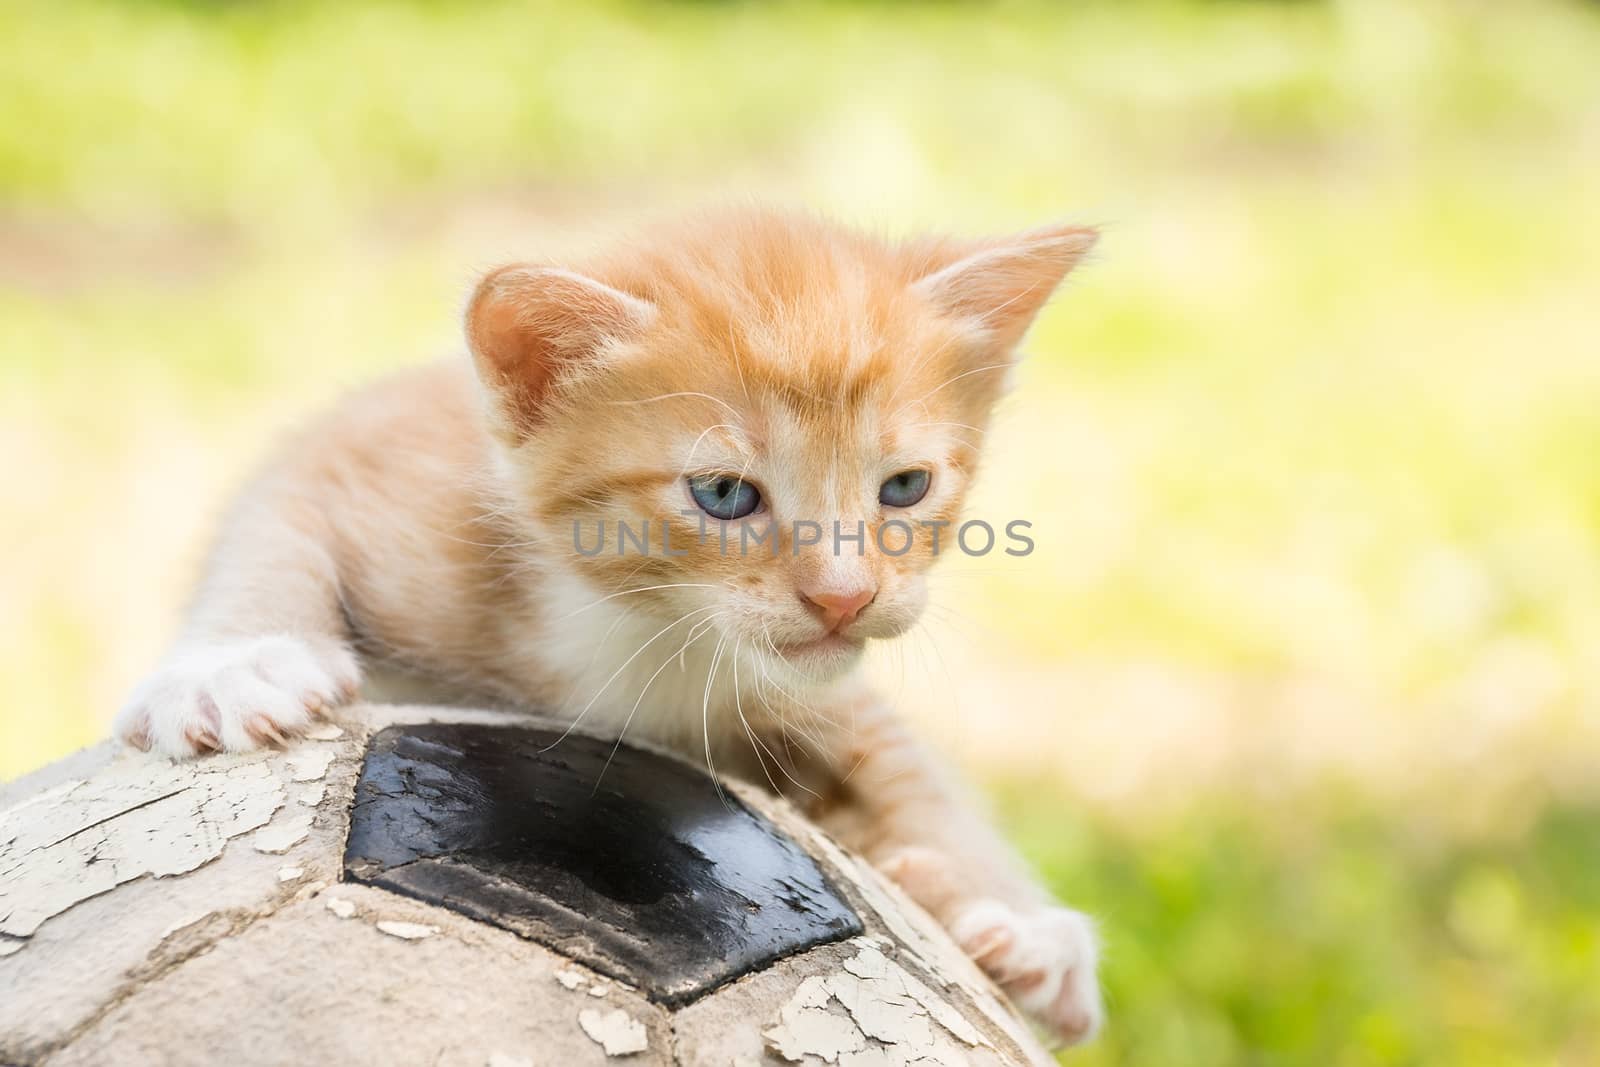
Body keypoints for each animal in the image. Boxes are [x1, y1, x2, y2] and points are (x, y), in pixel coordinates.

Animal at [118, 206, 1107, 1043]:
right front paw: (235, 662)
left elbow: (906, 768)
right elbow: (275, 515)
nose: (844, 596)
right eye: (723, 494)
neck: (641, 629)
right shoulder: (366, 455)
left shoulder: (808, 687)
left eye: (904, 486)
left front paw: (1018, 922)